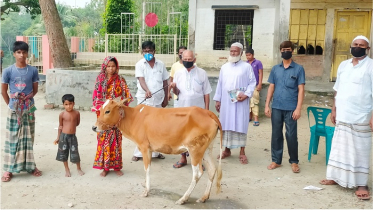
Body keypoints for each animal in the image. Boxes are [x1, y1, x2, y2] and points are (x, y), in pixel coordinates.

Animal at [92, 99, 222, 204]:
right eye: (100, 110)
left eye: (107, 111)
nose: (94, 127)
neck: (134, 118)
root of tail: (208, 112)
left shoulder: (144, 147)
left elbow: (147, 169)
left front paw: (146, 191)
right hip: (206, 150)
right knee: (212, 169)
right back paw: (204, 197)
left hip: (195, 150)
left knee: (197, 173)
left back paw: (183, 199)